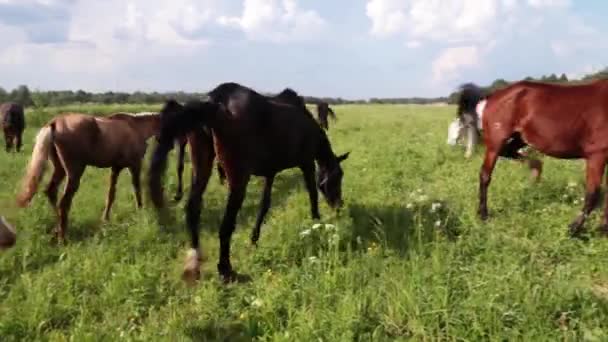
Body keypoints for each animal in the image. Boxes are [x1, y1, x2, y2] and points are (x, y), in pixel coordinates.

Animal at [16, 111, 159, 240]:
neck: (136, 127)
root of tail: (55, 123)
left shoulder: (115, 168)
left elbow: (111, 194)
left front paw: (105, 219)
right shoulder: (135, 165)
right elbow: (137, 189)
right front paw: (141, 211)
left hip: (60, 169)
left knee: (51, 192)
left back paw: (58, 229)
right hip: (74, 173)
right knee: (64, 203)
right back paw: (63, 238)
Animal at [147, 82, 350, 284]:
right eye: (338, 177)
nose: (339, 205)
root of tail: (215, 100)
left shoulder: (270, 173)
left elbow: (264, 205)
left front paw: (254, 239)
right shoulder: (306, 163)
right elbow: (312, 193)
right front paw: (317, 223)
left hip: (202, 166)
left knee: (192, 209)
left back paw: (194, 263)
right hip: (238, 180)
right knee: (226, 225)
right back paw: (225, 269)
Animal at [460, 79, 608, 236]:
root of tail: (492, 96)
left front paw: (602, 229)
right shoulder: (597, 154)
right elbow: (593, 194)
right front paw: (573, 229)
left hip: (519, 138)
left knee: (508, 152)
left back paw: (535, 169)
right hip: (496, 141)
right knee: (485, 174)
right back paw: (483, 214)